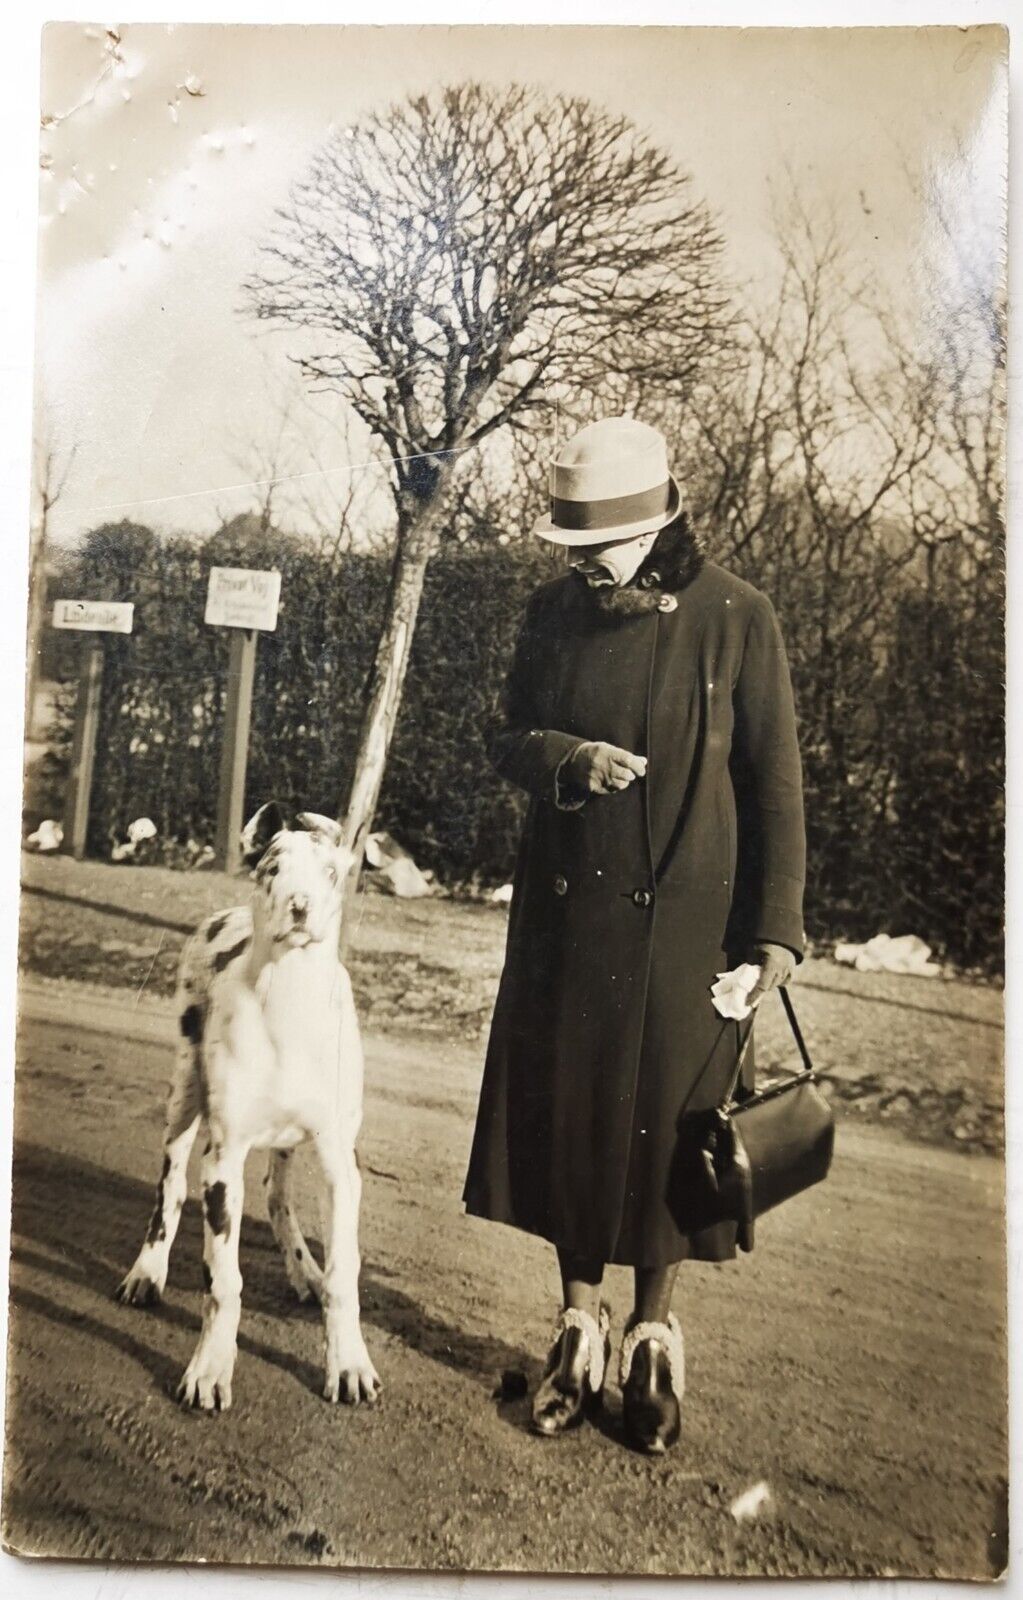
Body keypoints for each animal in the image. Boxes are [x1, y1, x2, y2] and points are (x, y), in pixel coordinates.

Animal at [116, 800, 381, 1414]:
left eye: (331, 874)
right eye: (273, 869)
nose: (300, 908)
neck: (288, 998)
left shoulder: (340, 1165)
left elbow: (345, 1274)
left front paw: (348, 1362)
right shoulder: (223, 1162)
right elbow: (223, 1279)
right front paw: (210, 1367)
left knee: (279, 1197)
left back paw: (305, 1272)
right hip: (184, 1095)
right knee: (169, 1189)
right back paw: (148, 1271)